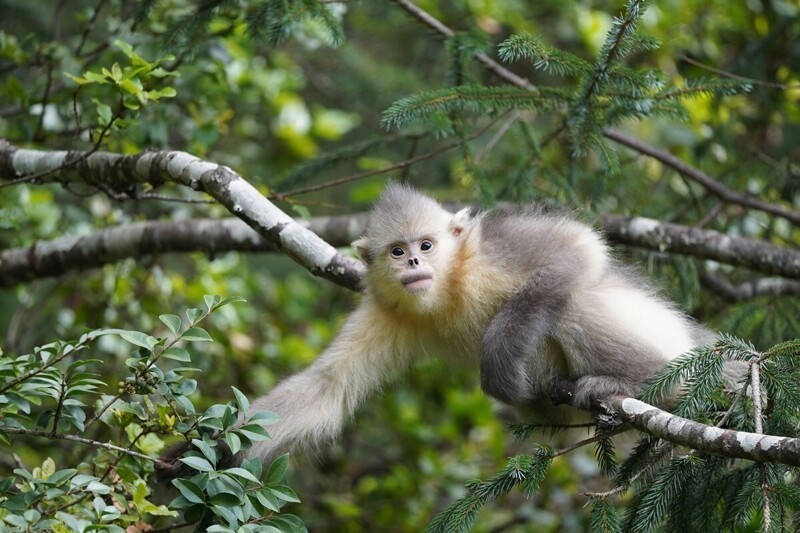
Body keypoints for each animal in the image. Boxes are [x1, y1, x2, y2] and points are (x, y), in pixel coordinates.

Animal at [156, 181, 720, 476]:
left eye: (426, 245)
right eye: (397, 251)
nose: (413, 265)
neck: (449, 288)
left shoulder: (494, 247)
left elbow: (577, 249)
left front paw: (498, 362)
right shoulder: (387, 311)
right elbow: (328, 388)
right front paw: (196, 454)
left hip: (667, 350)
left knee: (573, 298)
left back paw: (634, 385)